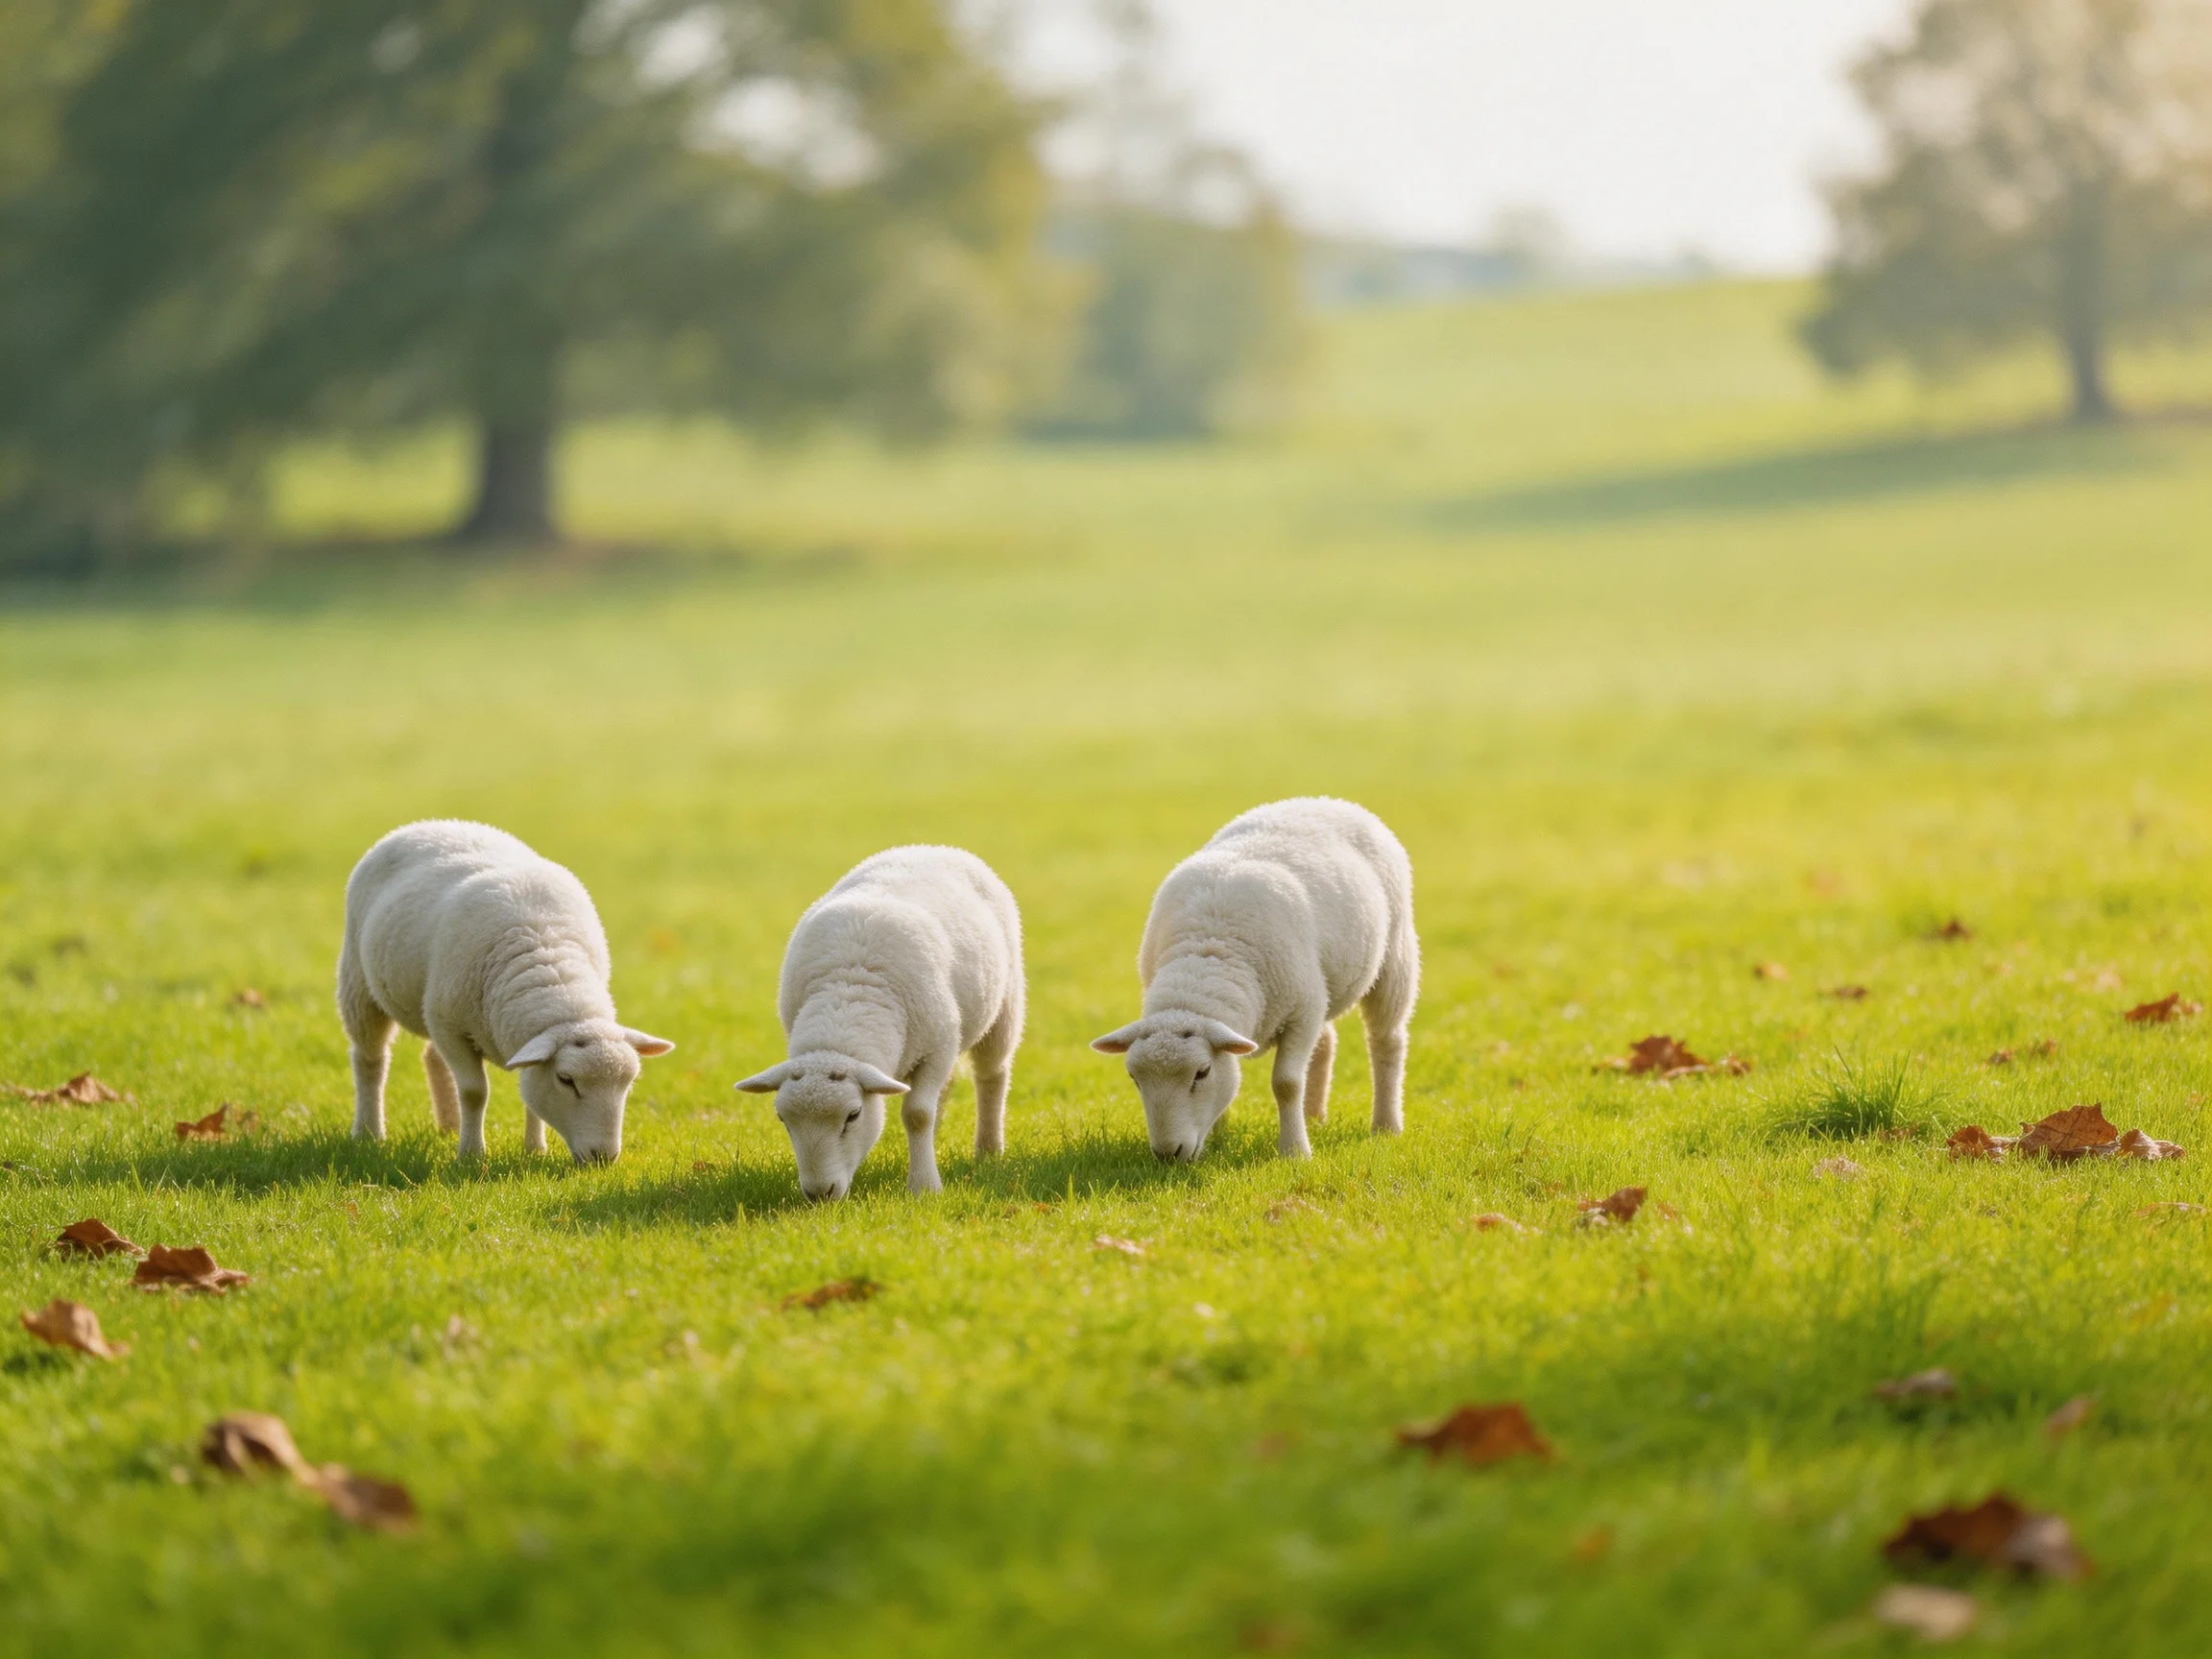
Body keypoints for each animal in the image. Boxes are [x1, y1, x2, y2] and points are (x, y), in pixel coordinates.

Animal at [337, 821, 673, 1164]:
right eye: (566, 1080)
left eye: (628, 1083)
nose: (603, 1157)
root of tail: (429, 824)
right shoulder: (449, 1025)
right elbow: (474, 1092)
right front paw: (471, 1155)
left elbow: (529, 1095)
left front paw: (535, 1148)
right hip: (358, 982)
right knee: (370, 1060)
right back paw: (369, 1133)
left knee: (432, 1058)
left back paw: (450, 1127)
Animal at [736, 846, 1024, 1201]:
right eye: (782, 1119)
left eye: (853, 1115)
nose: (820, 1193)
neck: (848, 995)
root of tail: (930, 847)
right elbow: (924, 1111)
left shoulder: (939, 1048)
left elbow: (917, 1114)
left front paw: (924, 1187)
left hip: (1005, 1006)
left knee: (991, 1075)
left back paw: (988, 1149)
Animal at [1091, 796, 1418, 1162]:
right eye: (1134, 1077)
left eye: (1201, 1073)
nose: (1167, 1154)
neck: (1208, 954)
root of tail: (1327, 800)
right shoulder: (1302, 1005)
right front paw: (1219, 1138)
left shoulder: (1301, 1010)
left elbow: (1286, 1083)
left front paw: (1295, 1151)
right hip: (1323, 985)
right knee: (1326, 1042)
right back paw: (1313, 1117)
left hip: (1395, 955)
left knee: (1387, 1041)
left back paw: (1386, 1125)